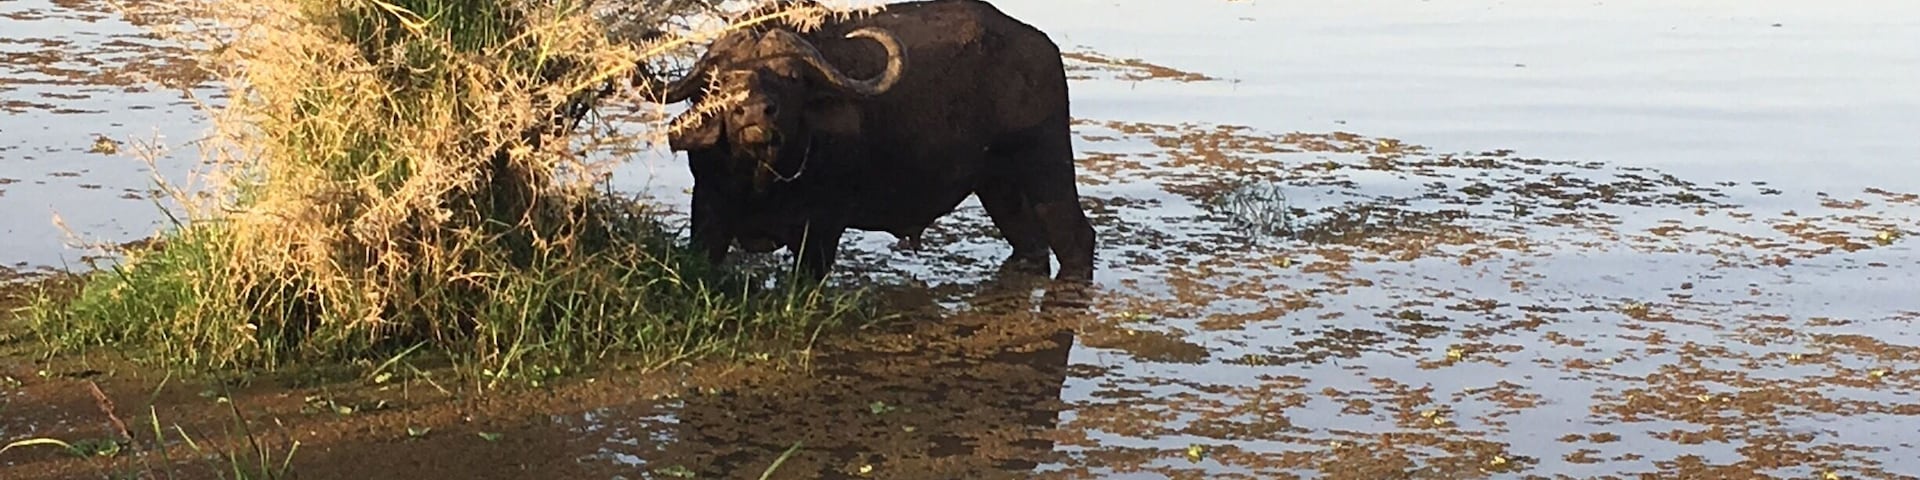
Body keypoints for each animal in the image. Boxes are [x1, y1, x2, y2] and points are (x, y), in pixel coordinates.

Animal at [640, 0, 1097, 283]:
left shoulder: (822, 229)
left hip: (1047, 163)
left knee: (1076, 236)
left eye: (791, 76)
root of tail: (1042, 48)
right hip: (998, 185)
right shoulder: (708, 213)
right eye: (718, 81)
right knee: (1031, 245)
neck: (763, 178)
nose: (753, 112)